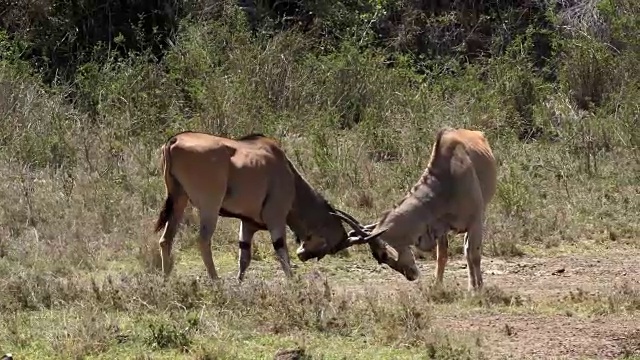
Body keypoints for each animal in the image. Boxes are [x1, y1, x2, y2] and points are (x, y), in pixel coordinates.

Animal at [154, 131, 376, 282]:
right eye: (332, 245)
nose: (303, 256)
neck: (289, 176)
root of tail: (175, 140)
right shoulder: (276, 218)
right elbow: (281, 250)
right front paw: (292, 282)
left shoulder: (247, 224)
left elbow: (244, 257)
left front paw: (240, 282)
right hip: (210, 206)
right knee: (203, 240)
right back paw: (215, 280)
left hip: (179, 201)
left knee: (166, 239)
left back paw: (166, 279)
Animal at [332, 128, 498, 292]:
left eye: (384, 255)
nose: (411, 276)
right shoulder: (441, 228)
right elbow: (442, 256)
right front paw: (437, 285)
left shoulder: (475, 221)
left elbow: (474, 255)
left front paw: (477, 289)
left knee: (469, 251)